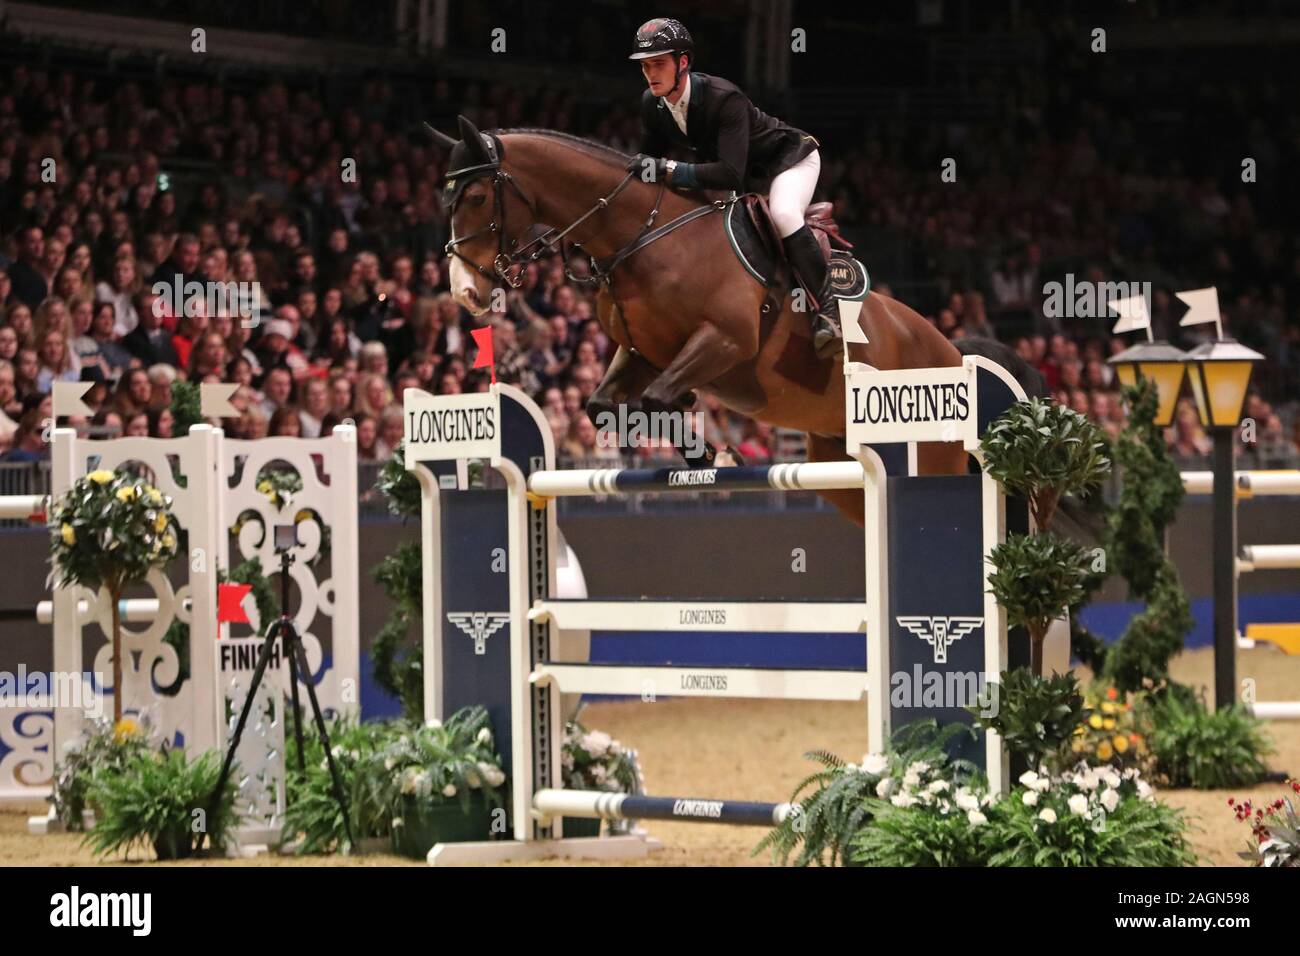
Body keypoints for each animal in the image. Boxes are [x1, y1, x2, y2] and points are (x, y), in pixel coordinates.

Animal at [426, 117, 1003, 530]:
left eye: (476, 196)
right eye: (444, 198)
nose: (464, 291)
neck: (641, 236)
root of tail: (950, 349)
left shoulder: (724, 342)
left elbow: (657, 396)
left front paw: (704, 441)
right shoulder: (641, 353)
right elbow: (604, 405)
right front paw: (700, 445)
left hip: (929, 450)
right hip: (838, 465)